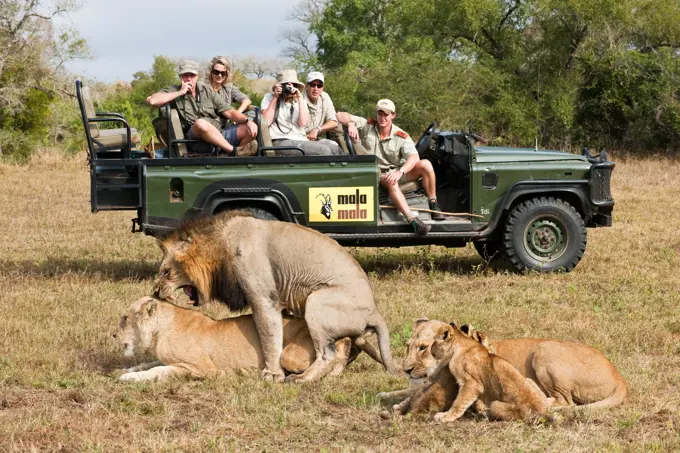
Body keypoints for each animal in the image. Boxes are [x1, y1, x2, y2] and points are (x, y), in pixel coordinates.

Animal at [153, 211, 398, 382]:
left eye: (166, 272)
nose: (155, 291)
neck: (221, 245)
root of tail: (374, 310)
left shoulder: (263, 297)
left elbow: (269, 337)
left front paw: (272, 374)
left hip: (316, 302)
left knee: (326, 354)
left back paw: (300, 379)